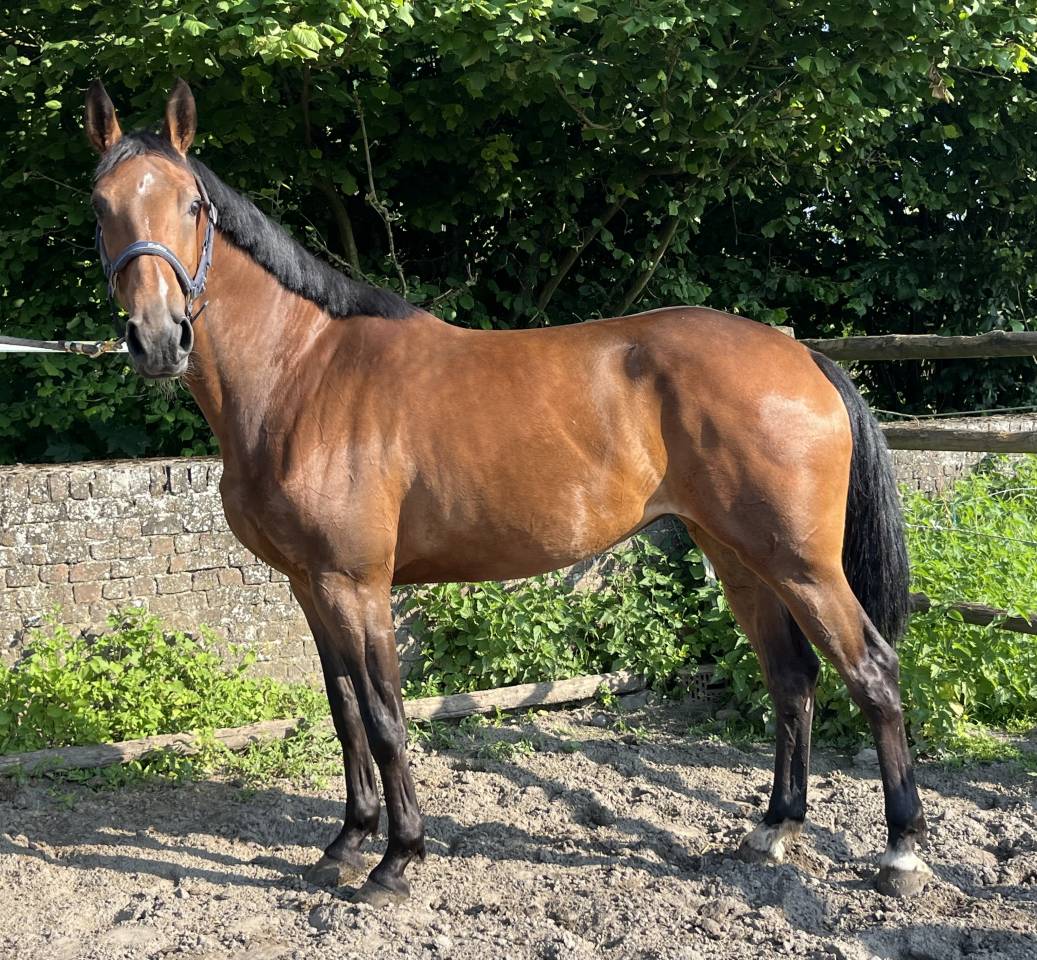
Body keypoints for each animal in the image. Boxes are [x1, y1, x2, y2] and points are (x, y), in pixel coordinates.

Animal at [82, 79, 930, 905]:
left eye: (193, 206)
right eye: (101, 204)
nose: (158, 338)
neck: (303, 373)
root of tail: (802, 357)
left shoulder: (356, 584)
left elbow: (385, 720)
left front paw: (396, 862)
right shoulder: (307, 585)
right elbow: (345, 713)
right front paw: (344, 847)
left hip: (801, 564)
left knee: (872, 673)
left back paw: (901, 854)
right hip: (738, 556)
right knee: (790, 678)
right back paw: (772, 829)